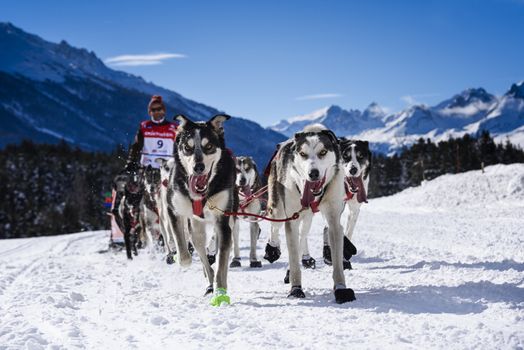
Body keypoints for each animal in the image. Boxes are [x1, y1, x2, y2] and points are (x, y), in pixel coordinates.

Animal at [166, 115, 237, 306]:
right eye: (187, 147)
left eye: (209, 146)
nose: (198, 167)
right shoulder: (173, 210)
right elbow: (184, 255)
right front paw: (179, 258)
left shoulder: (223, 221)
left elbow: (221, 264)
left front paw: (220, 293)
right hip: (196, 232)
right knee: (202, 254)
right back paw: (208, 278)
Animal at [266, 124, 356, 302]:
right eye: (303, 154)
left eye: (323, 152)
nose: (313, 173)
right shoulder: (291, 221)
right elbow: (294, 259)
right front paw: (296, 289)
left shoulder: (334, 221)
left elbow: (337, 260)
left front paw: (341, 289)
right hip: (278, 208)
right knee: (275, 227)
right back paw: (272, 249)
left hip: (307, 218)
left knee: (303, 236)